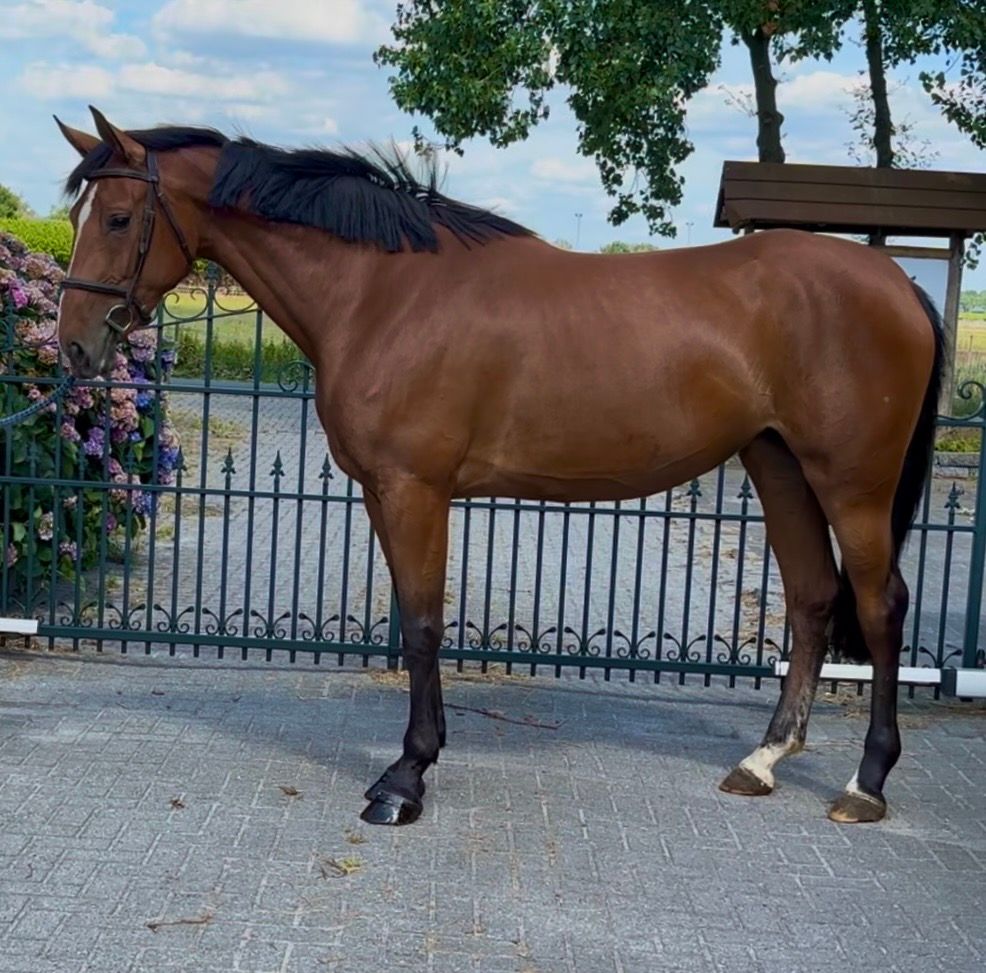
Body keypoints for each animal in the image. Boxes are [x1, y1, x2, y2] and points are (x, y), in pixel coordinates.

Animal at [53, 107, 943, 827]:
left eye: (120, 216)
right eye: (79, 214)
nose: (76, 346)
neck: (383, 291)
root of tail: (897, 279)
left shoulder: (415, 490)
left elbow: (421, 625)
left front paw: (404, 780)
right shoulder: (385, 493)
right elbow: (415, 622)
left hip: (852, 483)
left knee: (880, 605)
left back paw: (866, 783)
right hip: (779, 464)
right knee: (812, 598)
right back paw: (762, 761)